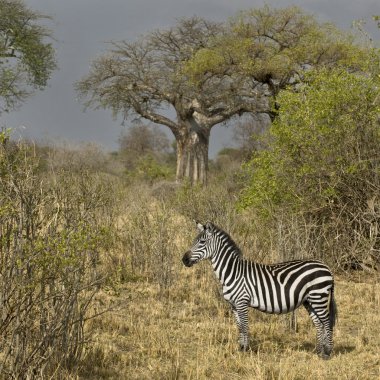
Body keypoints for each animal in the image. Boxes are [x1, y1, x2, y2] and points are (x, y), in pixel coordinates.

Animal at [183, 221, 336, 358]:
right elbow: (239, 327)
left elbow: (245, 326)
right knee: (319, 323)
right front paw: (240, 349)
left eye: (202, 242)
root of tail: (326, 267)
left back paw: (327, 352)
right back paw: (318, 351)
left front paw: (245, 350)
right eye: (194, 241)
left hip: (319, 297)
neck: (232, 272)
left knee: (327, 322)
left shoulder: (242, 302)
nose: (184, 260)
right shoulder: (233, 305)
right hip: (309, 301)